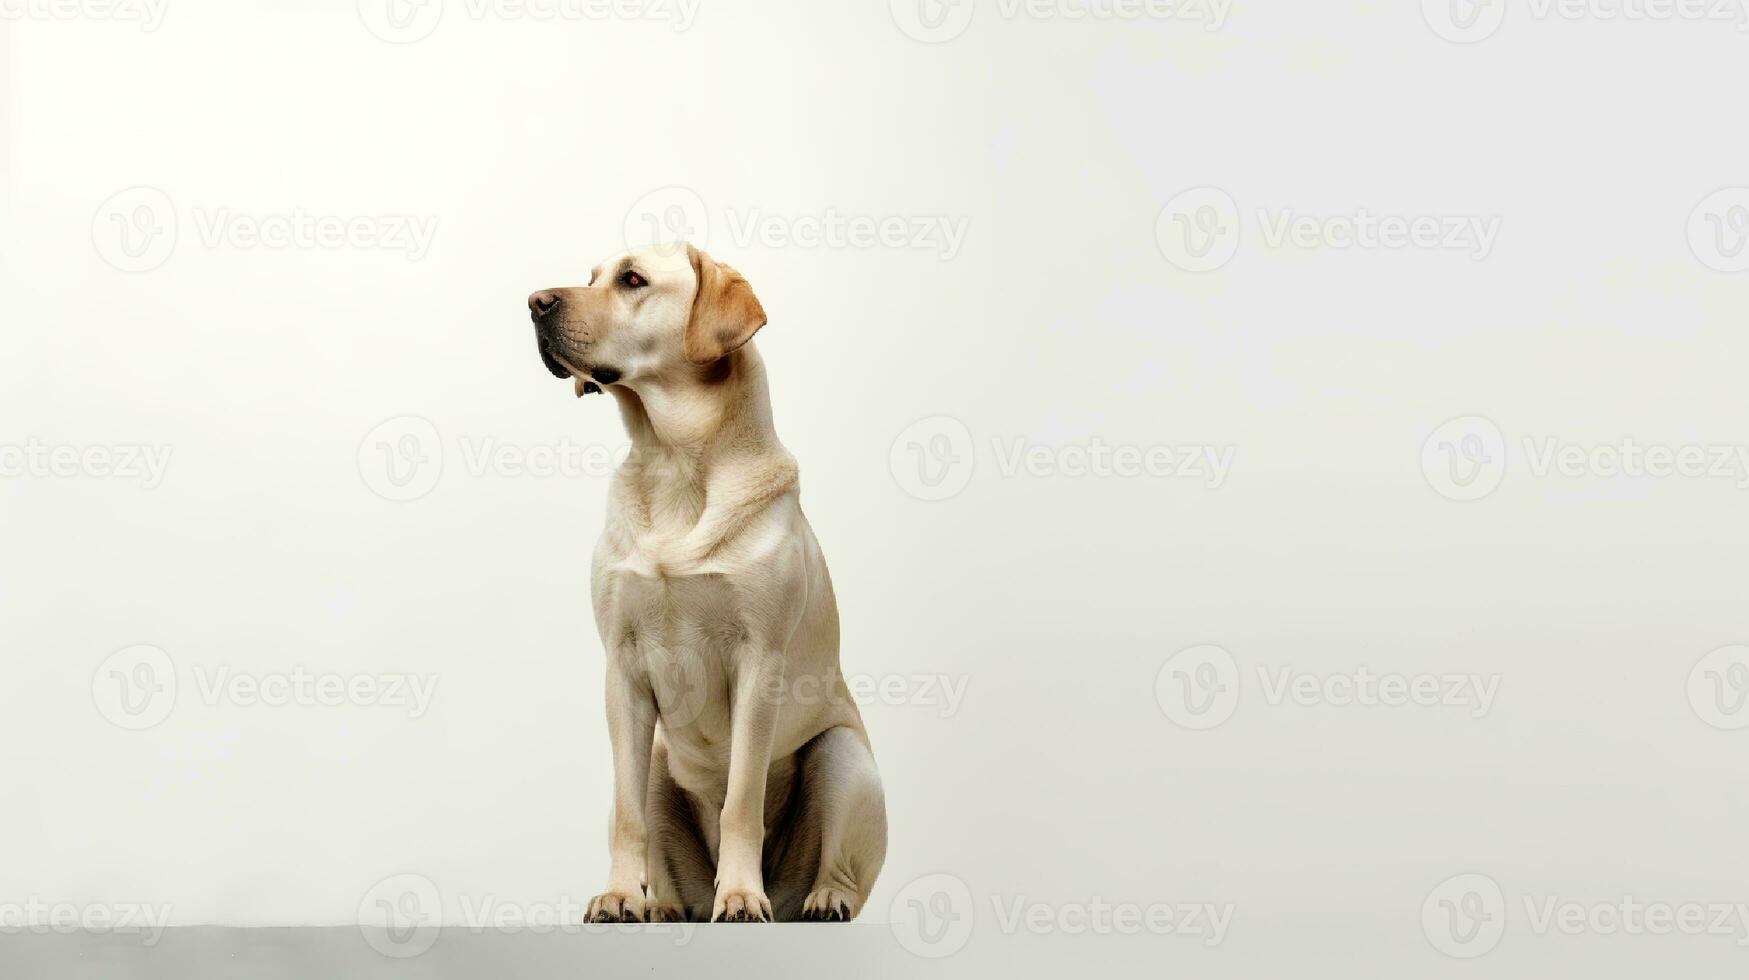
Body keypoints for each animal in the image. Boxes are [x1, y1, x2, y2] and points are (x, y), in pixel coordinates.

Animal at [524, 241, 888, 924]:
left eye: (632, 280)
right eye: (591, 276)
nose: (533, 301)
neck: (672, 462)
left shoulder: (759, 664)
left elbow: (741, 799)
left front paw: (740, 894)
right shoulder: (622, 670)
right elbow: (627, 816)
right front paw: (619, 894)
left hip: (843, 756)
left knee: (841, 870)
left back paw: (819, 897)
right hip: (660, 762)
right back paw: (661, 906)